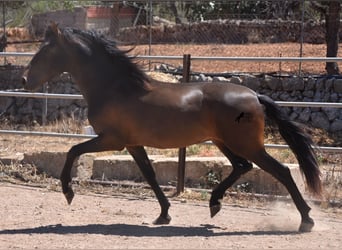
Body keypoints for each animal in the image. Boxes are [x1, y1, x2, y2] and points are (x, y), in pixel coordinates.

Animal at [20, 23, 320, 232]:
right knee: (242, 167)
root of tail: (255, 96)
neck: (115, 88)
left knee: (280, 171)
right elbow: (150, 175)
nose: (24, 80)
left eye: (45, 51)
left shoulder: (111, 140)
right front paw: (164, 214)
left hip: (246, 145)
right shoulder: (132, 143)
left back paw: (306, 220)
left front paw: (68, 192)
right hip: (223, 142)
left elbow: (73, 150)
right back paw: (215, 204)